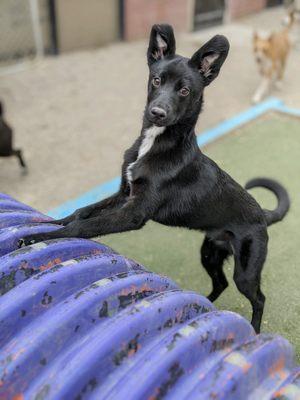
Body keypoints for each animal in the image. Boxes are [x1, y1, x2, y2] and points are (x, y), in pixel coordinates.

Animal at [19, 25, 290, 334]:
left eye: (184, 90)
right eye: (156, 80)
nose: (157, 113)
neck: (155, 143)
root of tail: (263, 214)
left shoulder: (134, 213)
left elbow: (85, 226)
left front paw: (39, 237)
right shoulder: (124, 195)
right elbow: (81, 212)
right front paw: (51, 223)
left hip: (246, 269)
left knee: (258, 298)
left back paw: (253, 328)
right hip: (210, 252)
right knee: (220, 283)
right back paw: (202, 305)